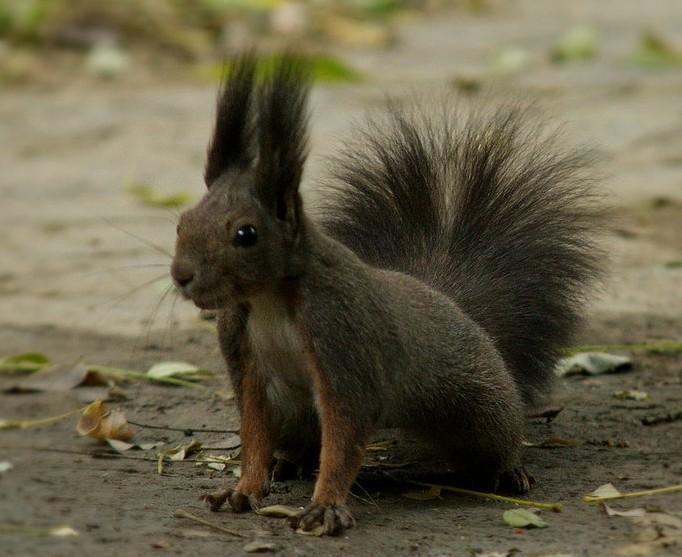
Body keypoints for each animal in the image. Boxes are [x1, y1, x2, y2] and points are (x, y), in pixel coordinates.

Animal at [169, 55, 600, 536]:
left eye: (246, 234)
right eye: (182, 222)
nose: (182, 275)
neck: (270, 300)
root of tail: (453, 305)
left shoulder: (345, 341)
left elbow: (344, 436)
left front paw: (325, 506)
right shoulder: (245, 358)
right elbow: (255, 431)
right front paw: (243, 489)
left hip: (477, 407)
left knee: (497, 438)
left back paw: (510, 471)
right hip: (298, 415)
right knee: (300, 441)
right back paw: (288, 463)